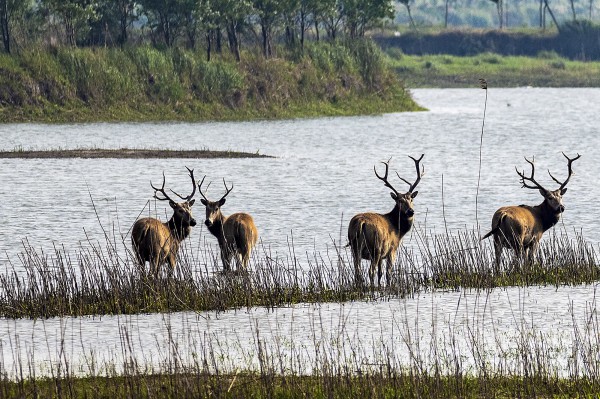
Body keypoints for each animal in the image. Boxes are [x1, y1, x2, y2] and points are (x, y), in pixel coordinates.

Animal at [344, 155, 424, 290]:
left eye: (411, 199)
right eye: (399, 201)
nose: (411, 211)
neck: (398, 231)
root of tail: (361, 222)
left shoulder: (382, 255)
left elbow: (381, 273)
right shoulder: (392, 249)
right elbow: (388, 273)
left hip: (355, 248)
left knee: (357, 271)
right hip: (375, 248)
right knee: (371, 271)